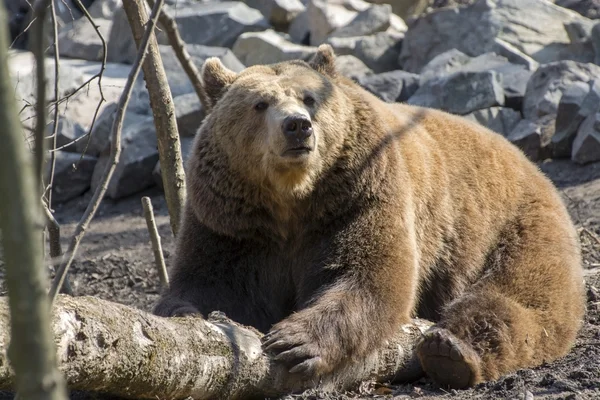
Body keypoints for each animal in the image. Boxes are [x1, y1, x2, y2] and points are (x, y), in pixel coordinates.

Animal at [154, 44, 584, 390]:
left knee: (521, 293)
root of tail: (529, 162)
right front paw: (184, 315)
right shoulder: (229, 224)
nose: (297, 126)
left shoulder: (359, 197)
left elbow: (368, 273)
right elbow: (204, 282)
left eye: (310, 98)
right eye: (260, 104)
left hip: (511, 223)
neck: (291, 200)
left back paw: (450, 350)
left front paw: (294, 341)